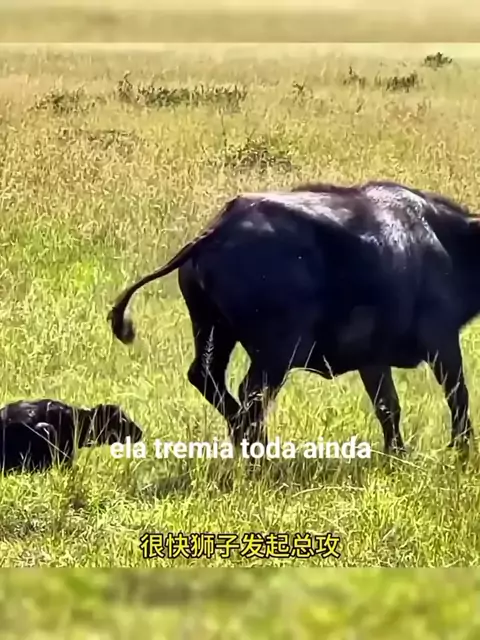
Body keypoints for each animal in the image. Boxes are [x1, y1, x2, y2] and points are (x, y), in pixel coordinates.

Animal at [107, 180, 480, 458]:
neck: (442, 239)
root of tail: (219, 228)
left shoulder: (372, 359)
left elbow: (387, 406)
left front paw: (397, 453)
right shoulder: (442, 341)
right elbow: (458, 396)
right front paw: (462, 450)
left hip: (213, 330)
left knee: (207, 378)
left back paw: (242, 440)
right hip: (276, 353)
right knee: (251, 395)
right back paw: (259, 454)